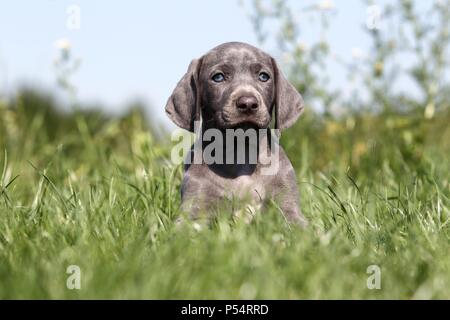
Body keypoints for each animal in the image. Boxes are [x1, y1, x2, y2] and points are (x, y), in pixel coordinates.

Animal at [167, 42, 308, 228]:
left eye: (264, 76)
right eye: (218, 77)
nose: (248, 103)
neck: (241, 151)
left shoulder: (289, 207)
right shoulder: (194, 210)